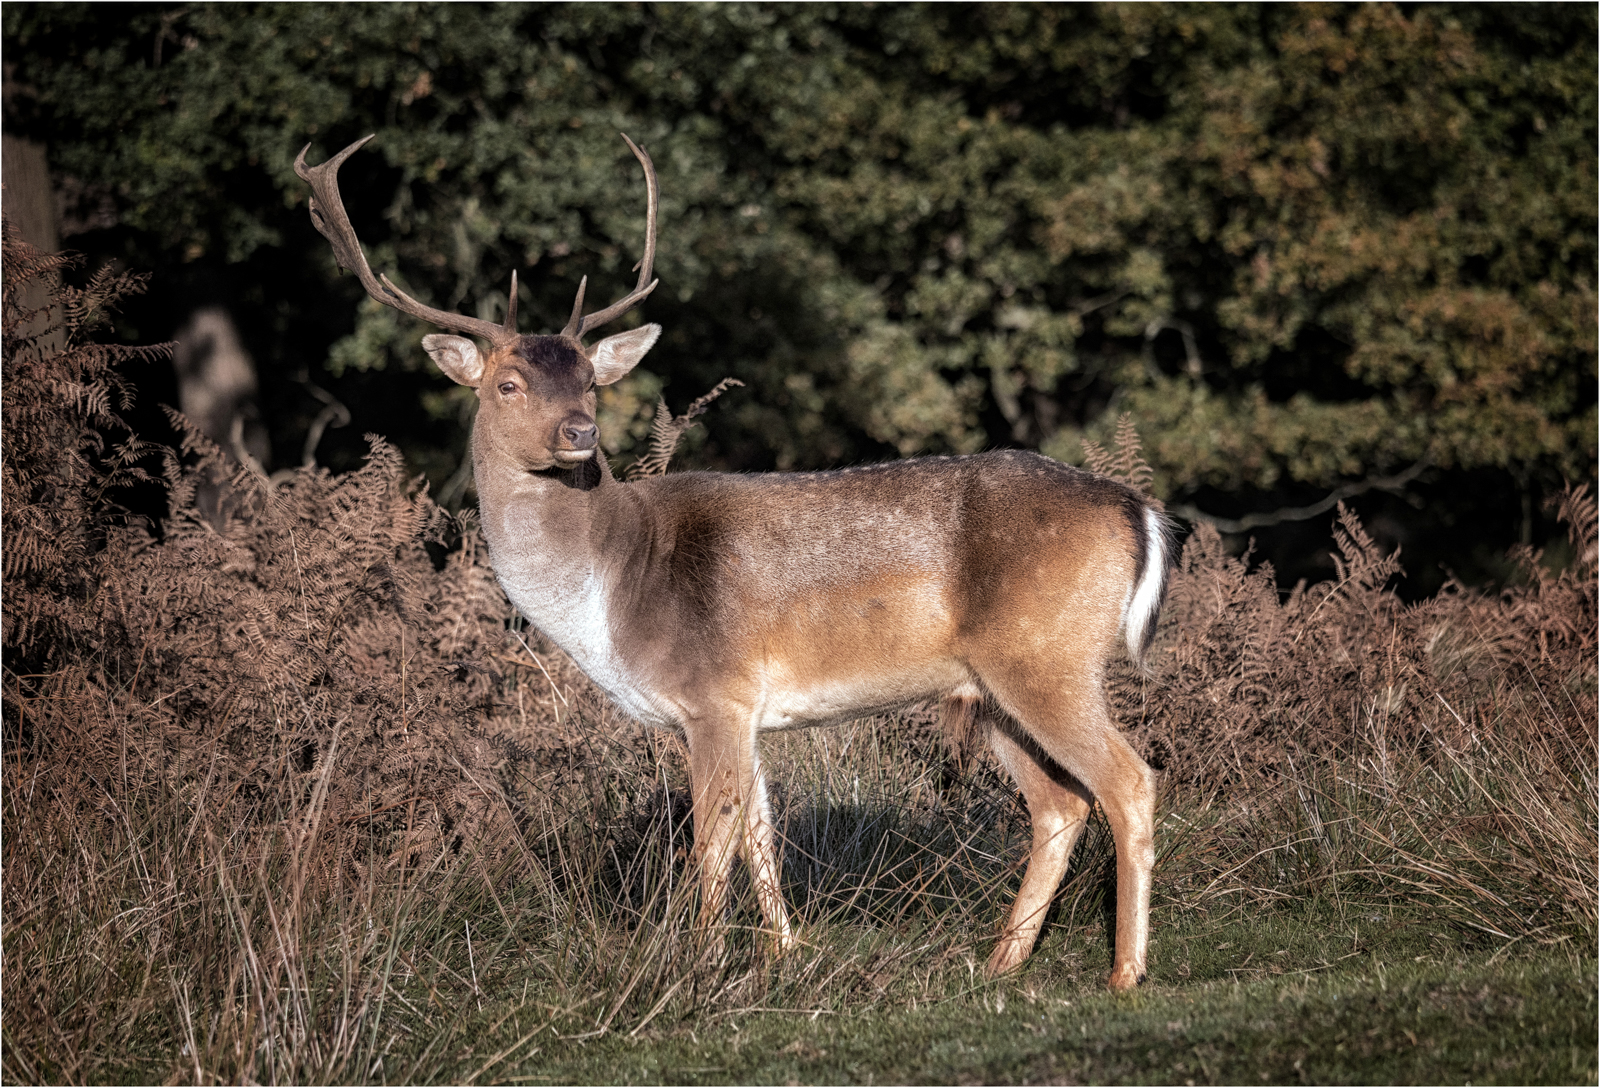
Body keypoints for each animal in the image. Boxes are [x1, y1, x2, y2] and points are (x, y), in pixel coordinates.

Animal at [296, 133, 1171, 990]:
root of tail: (1138, 511)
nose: (581, 431)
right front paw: (784, 954)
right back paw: (997, 964)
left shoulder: (712, 691)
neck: (612, 594)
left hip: (1044, 656)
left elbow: (711, 838)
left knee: (1128, 780)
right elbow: (759, 830)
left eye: (587, 379)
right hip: (987, 688)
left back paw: (1125, 973)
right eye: (507, 383)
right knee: (1060, 804)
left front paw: (697, 965)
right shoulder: (747, 709)